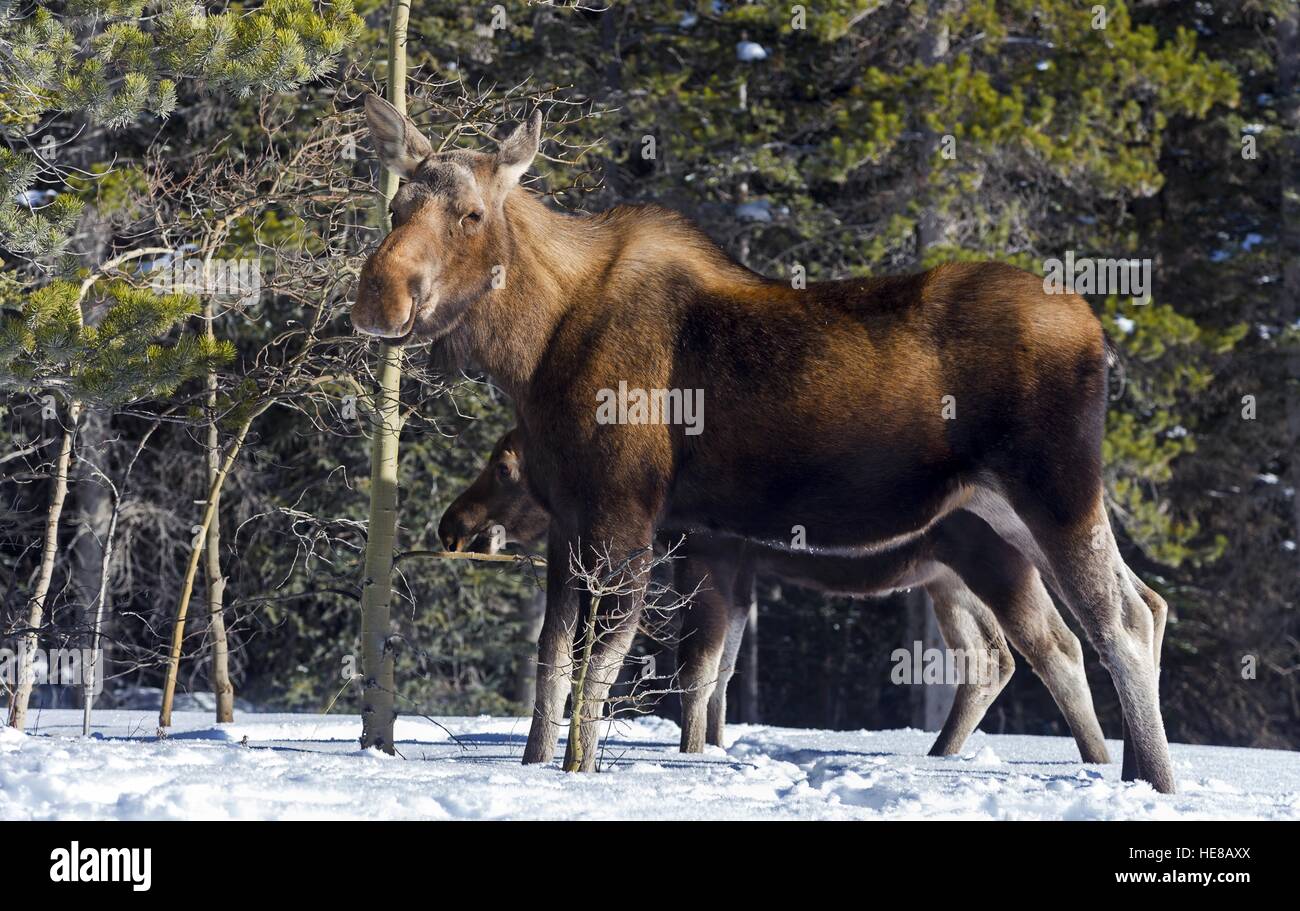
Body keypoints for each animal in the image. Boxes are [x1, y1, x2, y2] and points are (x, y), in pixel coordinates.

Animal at [441, 426, 1112, 758]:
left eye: (504, 467)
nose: (453, 524)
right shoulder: (743, 572)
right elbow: (723, 672)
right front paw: (713, 748)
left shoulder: (712, 553)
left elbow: (696, 668)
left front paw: (691, 754)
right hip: (945, 578)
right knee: (991, 660)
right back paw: (942, 754)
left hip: (995, 560)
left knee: (1056, 646)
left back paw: (1100, 760)